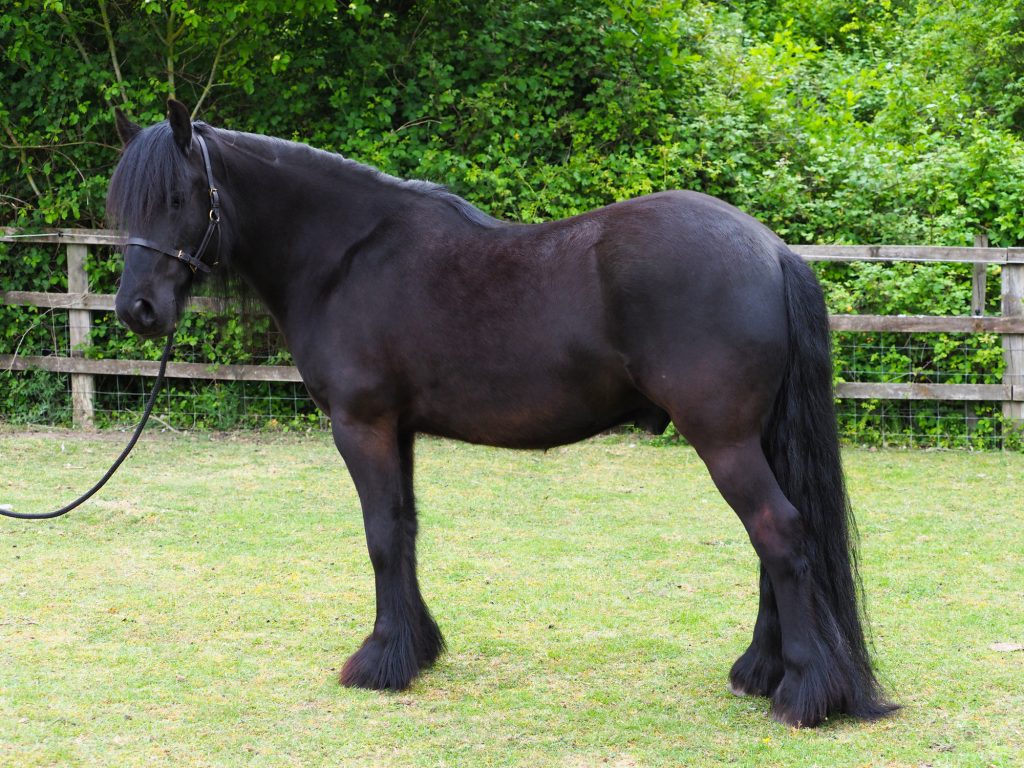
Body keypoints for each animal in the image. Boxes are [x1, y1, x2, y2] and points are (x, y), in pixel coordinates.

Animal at [107, 99, 895, 727]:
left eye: (177, 196)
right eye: (127, 206)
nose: (137, 310)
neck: (344, 256)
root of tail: (770, 249)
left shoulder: (362, 426)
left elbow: (381, 537)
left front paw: (379, 662)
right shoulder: (398, 430)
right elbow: (405, 530)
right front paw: (415, 651)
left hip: (724, 439)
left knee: (778, 533)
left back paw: (803, 695)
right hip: (753, 437)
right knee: (774, 542)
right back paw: (761, 672)